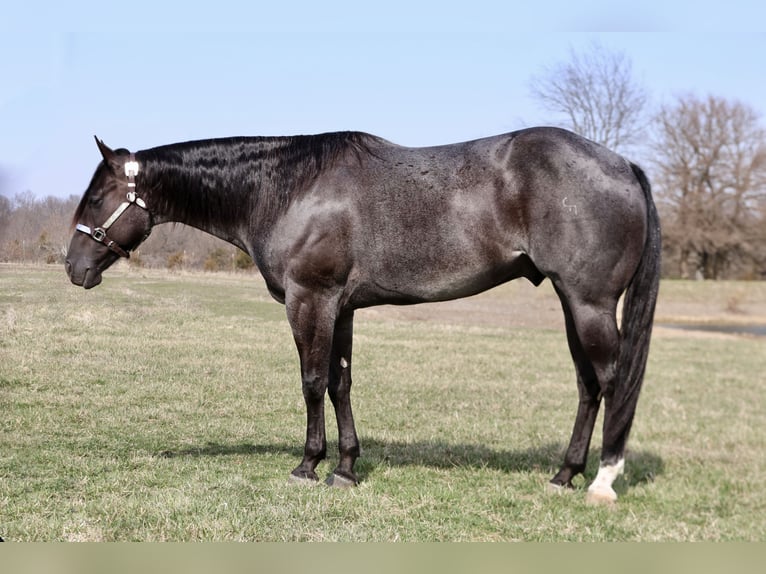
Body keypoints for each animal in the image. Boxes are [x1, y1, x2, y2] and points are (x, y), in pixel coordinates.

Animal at [66, 129, 664, 504]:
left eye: (96, 198)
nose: (73, 267)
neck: (287, 190)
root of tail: (622, 164)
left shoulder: (310, 299)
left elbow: (311, 382)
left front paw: (308, 466)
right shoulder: (342, 307)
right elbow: (340, 385)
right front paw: (346, 468)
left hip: (588, 303)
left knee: (613, 383)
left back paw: (602, 481)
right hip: (571, 302)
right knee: (589, 386)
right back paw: (564, 474)